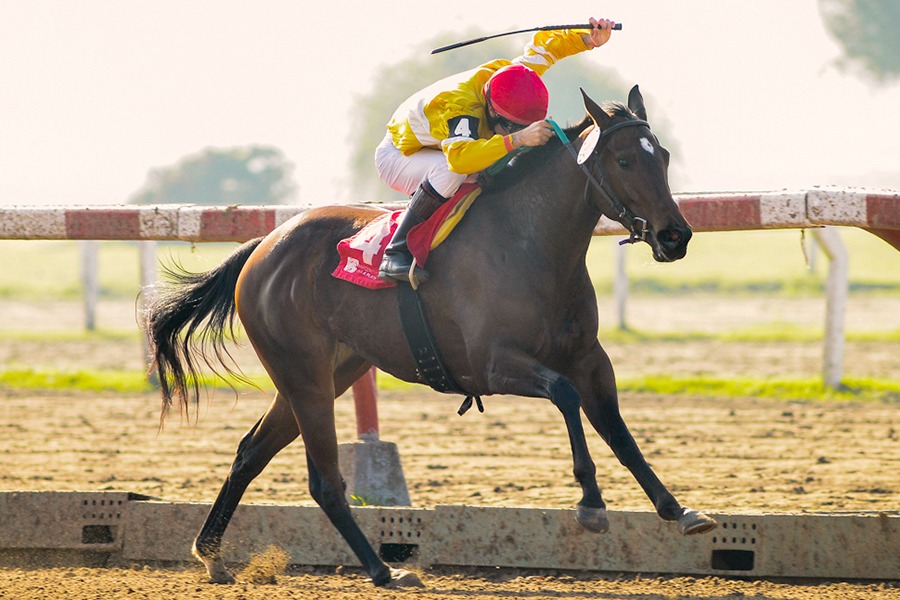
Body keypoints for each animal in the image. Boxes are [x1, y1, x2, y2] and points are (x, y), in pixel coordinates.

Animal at [144, 85, 717, 588]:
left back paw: (213, 556)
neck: (530, 244)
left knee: (250, 452)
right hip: (303, 375)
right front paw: (592, 506)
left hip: (327, 373)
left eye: (663, 156)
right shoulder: (494, 364)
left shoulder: (590, 358)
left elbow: (619, 431)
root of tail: (265, 243)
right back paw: (382, 570)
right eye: (624, 160)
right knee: (324, 480)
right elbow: (566, 394)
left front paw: (679, 509)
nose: (675, 236)